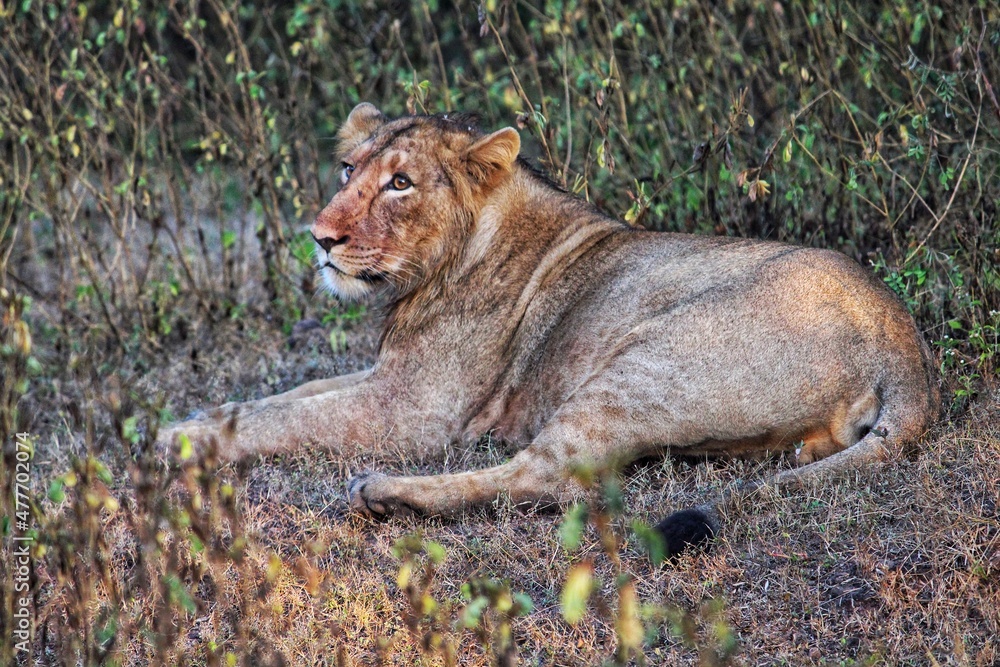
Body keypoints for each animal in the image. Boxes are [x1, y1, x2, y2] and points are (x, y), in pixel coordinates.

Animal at [161, 103, 939, 554]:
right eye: (348, 169)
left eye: (400, 183)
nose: (320, 238)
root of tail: (900, 337)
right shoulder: (389, 374)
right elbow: (280, 399)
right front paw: (193, 418)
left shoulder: (414, 410)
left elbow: (284, 421)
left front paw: (177, 439)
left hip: (645, 357)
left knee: (552, 476)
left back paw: (384, 494)